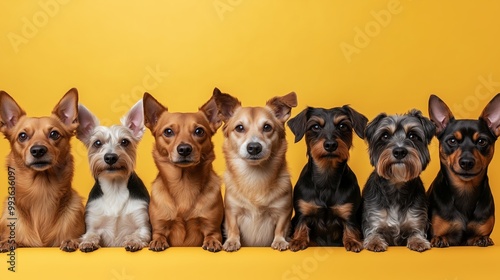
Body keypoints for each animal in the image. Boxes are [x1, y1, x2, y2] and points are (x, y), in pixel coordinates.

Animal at [0, 88, 85, 253]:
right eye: (22, 136)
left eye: (54, 134)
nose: (38, 150)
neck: (41, 191)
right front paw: (7, 242)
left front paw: (72, 241)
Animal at [212, 87, 296, 252]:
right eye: (239, 128)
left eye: (267, 127)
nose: (254, 147)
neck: (254, 175)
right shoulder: (232, 211)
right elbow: (233, 228)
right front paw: (232, 241)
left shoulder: (283, 211)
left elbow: (281, 227)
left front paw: (280, 241)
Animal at [286, 105, 368, 252]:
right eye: (315, 126)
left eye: (342, 125)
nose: (330, 145)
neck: (327, 176)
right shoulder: (303, 212)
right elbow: (301, 225)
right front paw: (298, 240)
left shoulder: (348, 213)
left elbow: (351, 227)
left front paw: (353, 241)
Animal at [426, 94, 500, 247]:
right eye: (452, 141)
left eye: (482, 141)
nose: (466, 162)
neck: (465, 190)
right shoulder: (438, 233)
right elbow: (439, 236)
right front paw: (439, 240)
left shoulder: (473, 236)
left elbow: (480, 236)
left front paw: (483, 239)